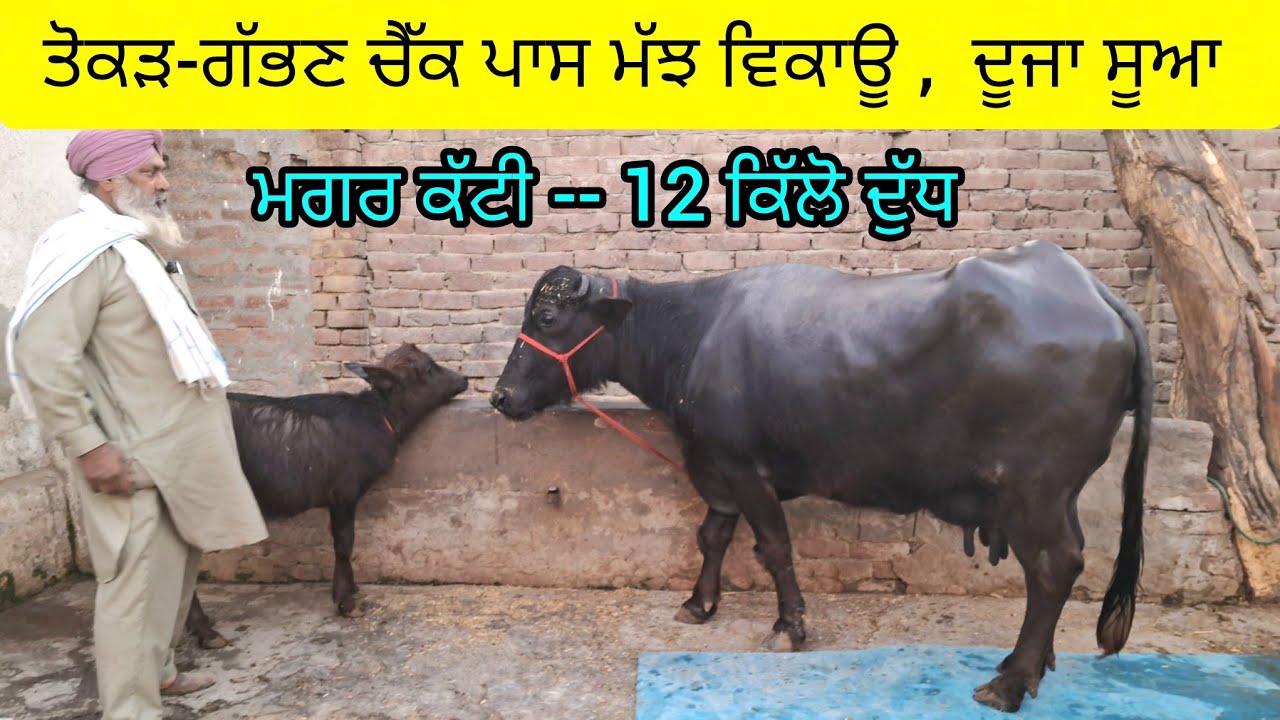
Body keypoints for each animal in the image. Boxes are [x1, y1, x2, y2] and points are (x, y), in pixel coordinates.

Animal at [490, 240, 1151, 713]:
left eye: (546, 316)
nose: (501, 396)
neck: (694, 336)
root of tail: (1094, 293)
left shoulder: (746, 471)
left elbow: (774, 548)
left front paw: (789, 626)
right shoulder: (717, 470)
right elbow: (713, 538)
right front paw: (699, 604)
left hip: (1032, 489)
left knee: (1053, 566)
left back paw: (1011, 681)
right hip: (1060, 492)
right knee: (1062, 564)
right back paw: (1032, 665)